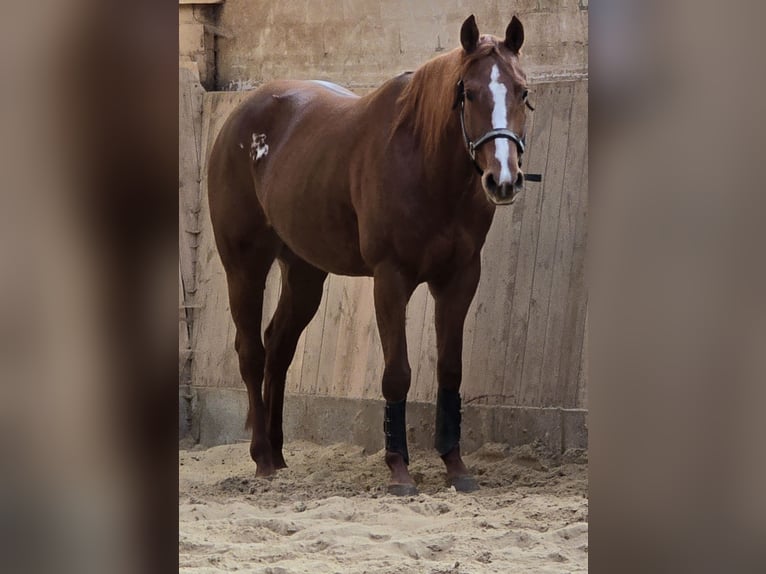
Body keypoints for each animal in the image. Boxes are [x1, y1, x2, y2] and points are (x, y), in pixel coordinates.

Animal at [208, 14, 533, 495]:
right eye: (469, 92)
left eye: (522, 91)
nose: (503, 179)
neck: (424, 162)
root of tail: (239, 118)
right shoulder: (390, 278)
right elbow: (397, 372)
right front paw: (399, 470)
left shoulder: (459, 278)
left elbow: (450, 371)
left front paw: (456, 467)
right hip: (244, 265)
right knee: (251, 351)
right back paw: (263, 457)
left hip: (303, 273)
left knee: (279, 347)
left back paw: (279, 453)